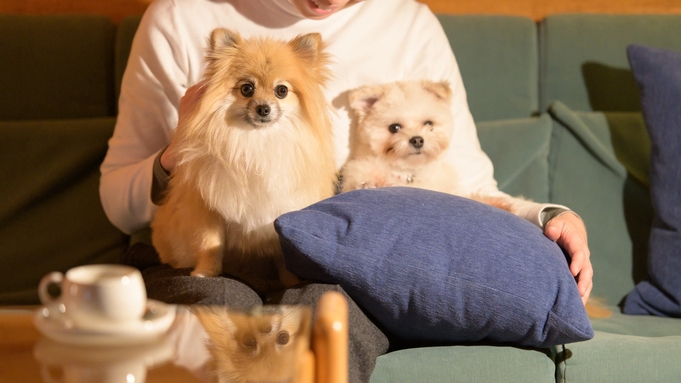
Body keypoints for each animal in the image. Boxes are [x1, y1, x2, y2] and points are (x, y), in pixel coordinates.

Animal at [152, 29, 338, 294]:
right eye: (247, 89)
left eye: (282, 91)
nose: (263, 108)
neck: (255, 141)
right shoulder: (207, 210)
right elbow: (211, 244)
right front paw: (205, 273)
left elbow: (285, 254)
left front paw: (292, 283)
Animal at [342, 80, 512, 213]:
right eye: (394, 127)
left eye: (429, 123)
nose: (417, 140)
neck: (410, 175)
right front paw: (372, 181)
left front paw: (500, 204)